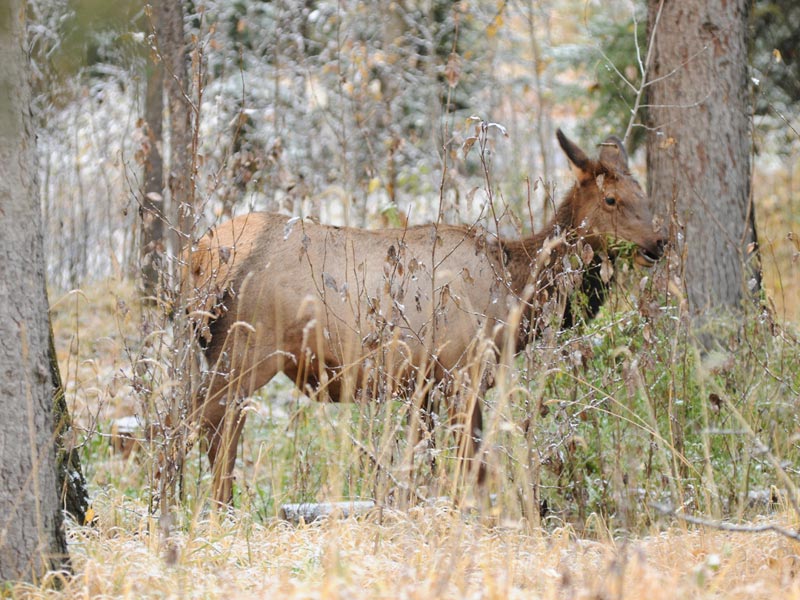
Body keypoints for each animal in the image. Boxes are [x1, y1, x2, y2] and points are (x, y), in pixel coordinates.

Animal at [183, 129, 665, 505]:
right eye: (611, 199)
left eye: (645, 195)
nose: (660, 242)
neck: (515, 297)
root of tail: (197, 257)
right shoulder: (463, 372)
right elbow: (475, 467)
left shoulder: (425, 386)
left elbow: (426, 465)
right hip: (244, 351)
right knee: (203, 425)